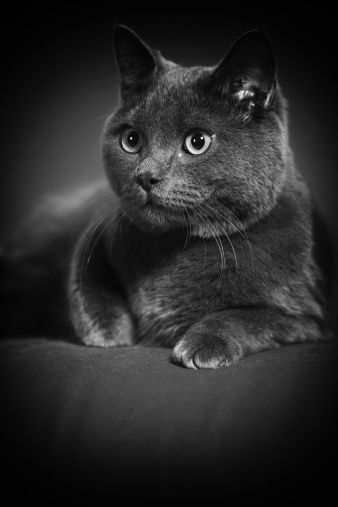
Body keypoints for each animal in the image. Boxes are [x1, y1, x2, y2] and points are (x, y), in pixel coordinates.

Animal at [0, 24, 332, 370]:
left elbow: (248, 317)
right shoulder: (97, 234)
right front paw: (110, 333)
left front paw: (204, 343)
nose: (145, 176)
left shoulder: (308, 317)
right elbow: (84, 284)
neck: (176, 248)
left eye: (197, 141)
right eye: (131, 140)